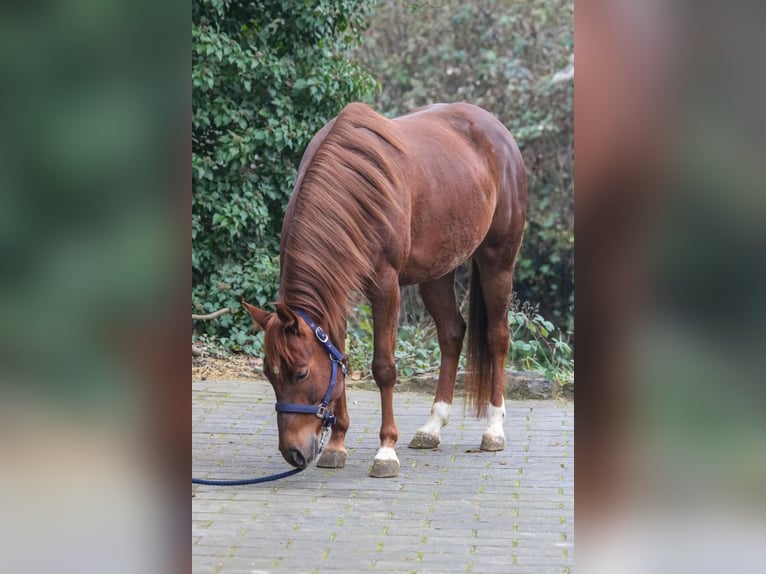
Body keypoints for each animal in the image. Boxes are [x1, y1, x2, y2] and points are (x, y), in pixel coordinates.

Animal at [243, 102, 527, 478]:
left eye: (300, 372)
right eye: (268, 373)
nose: (294, 453)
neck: (350, 189)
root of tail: (497, 131)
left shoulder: (385, 285)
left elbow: (384, 368)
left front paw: (386, 451)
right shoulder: (337, 292)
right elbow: (339, 358)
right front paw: (336, 445)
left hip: (498, 261)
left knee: (497, 337)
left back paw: (494, 429)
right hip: (436, 271)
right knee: (452, 333)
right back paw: (432, 426)